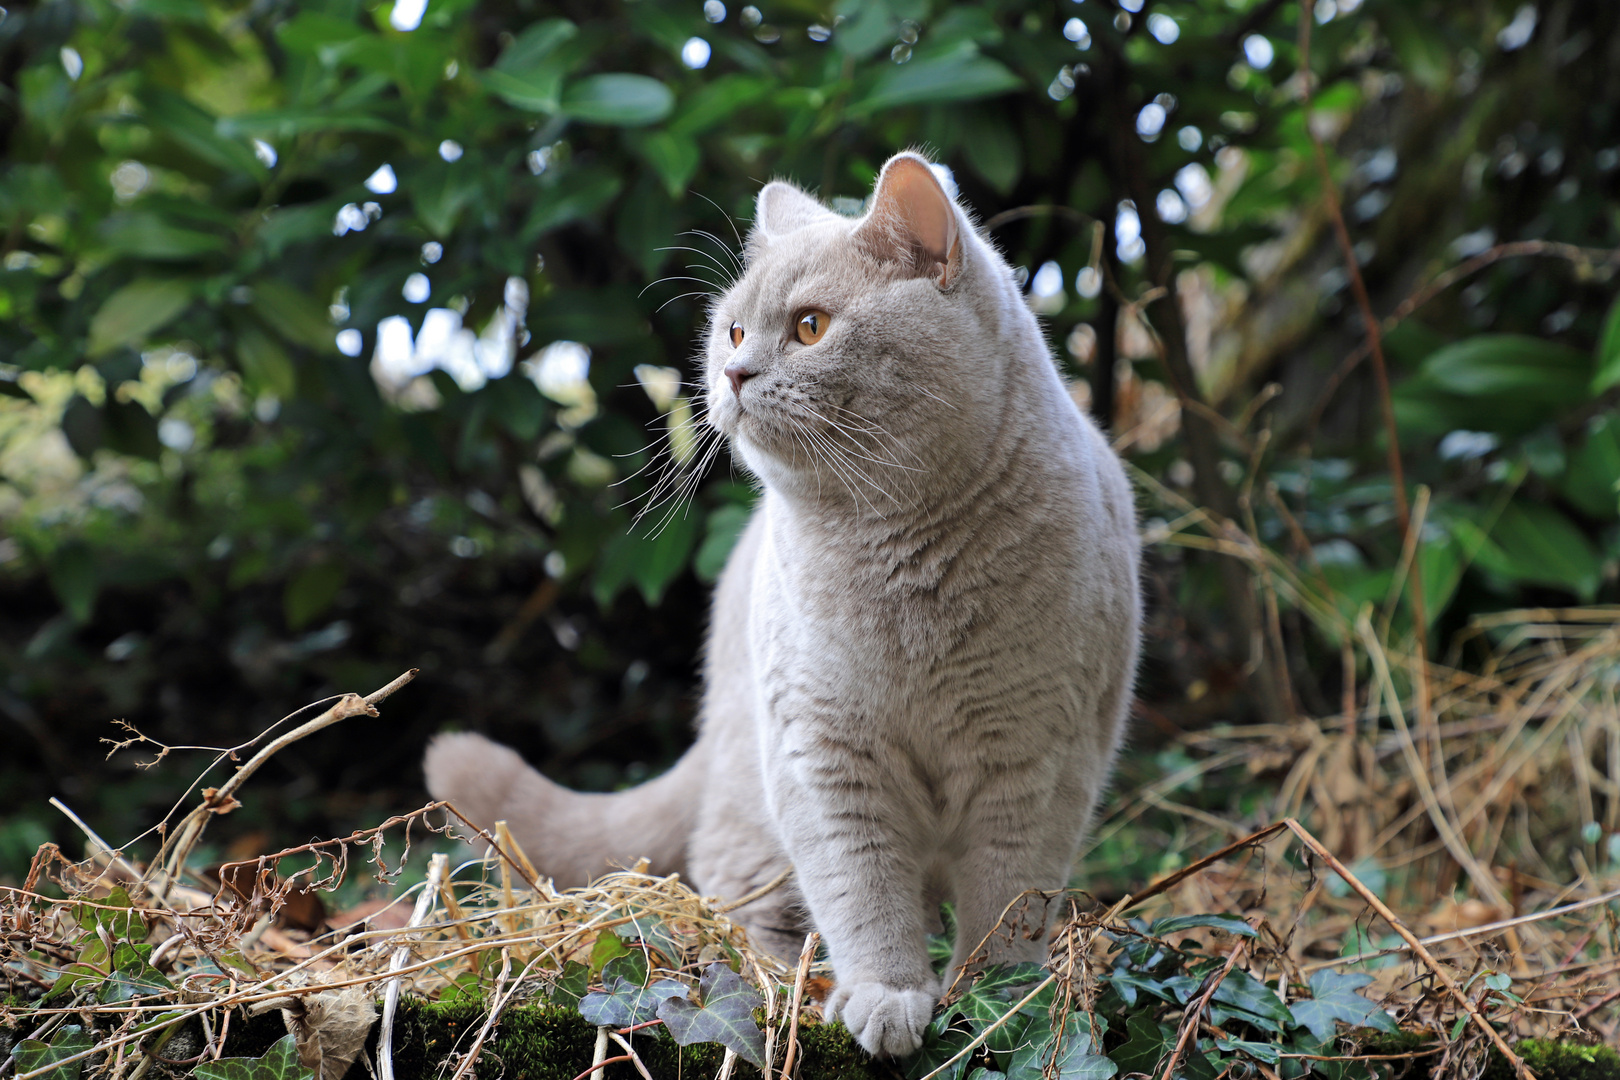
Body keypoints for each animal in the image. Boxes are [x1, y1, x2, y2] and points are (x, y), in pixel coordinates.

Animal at [424, 152, 1146, 1055]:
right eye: (734, 332)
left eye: (809, 327)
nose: (734, 374)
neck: (901, 565)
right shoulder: (822, 751)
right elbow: (860, 888)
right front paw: (888, 995)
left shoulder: (1037, 758)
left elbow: (1007, 902)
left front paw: (997, 1001)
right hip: (751, 782)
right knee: (744, 888)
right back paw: (776, 979)